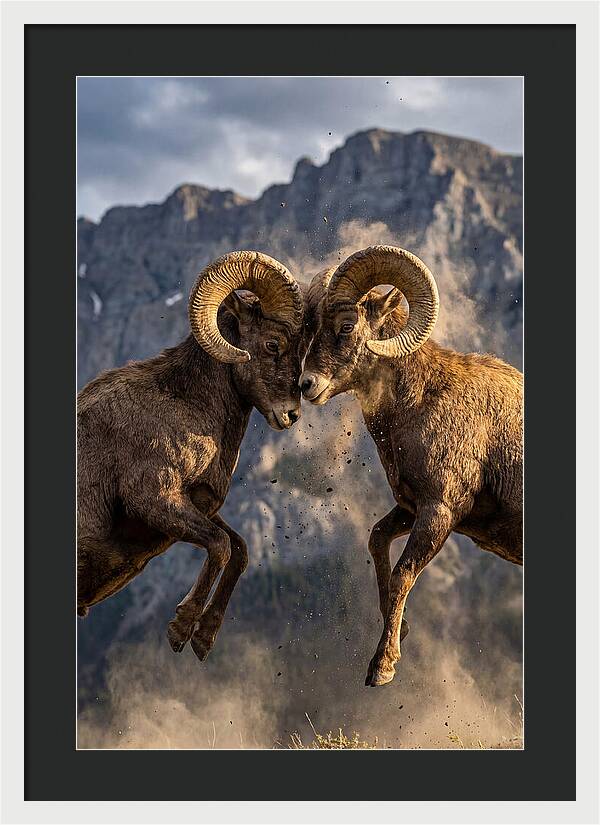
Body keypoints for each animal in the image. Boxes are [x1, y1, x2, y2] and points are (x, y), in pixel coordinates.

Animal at [78, 251, 306, 662]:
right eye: (272, 344)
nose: (291, 414)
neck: (186, 404)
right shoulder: (154, 499)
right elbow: (219, 546)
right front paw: (181, 629)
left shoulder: (197, 505)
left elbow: (239, 549)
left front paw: (203, 639)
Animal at [300, 245, 523, 687]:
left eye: (347, 325)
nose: (306, 385)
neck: (421, 402)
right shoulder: (409, 508)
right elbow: (377, 541)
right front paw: (399, 630)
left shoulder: (439, 512)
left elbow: (404, 574)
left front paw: (382, 667)